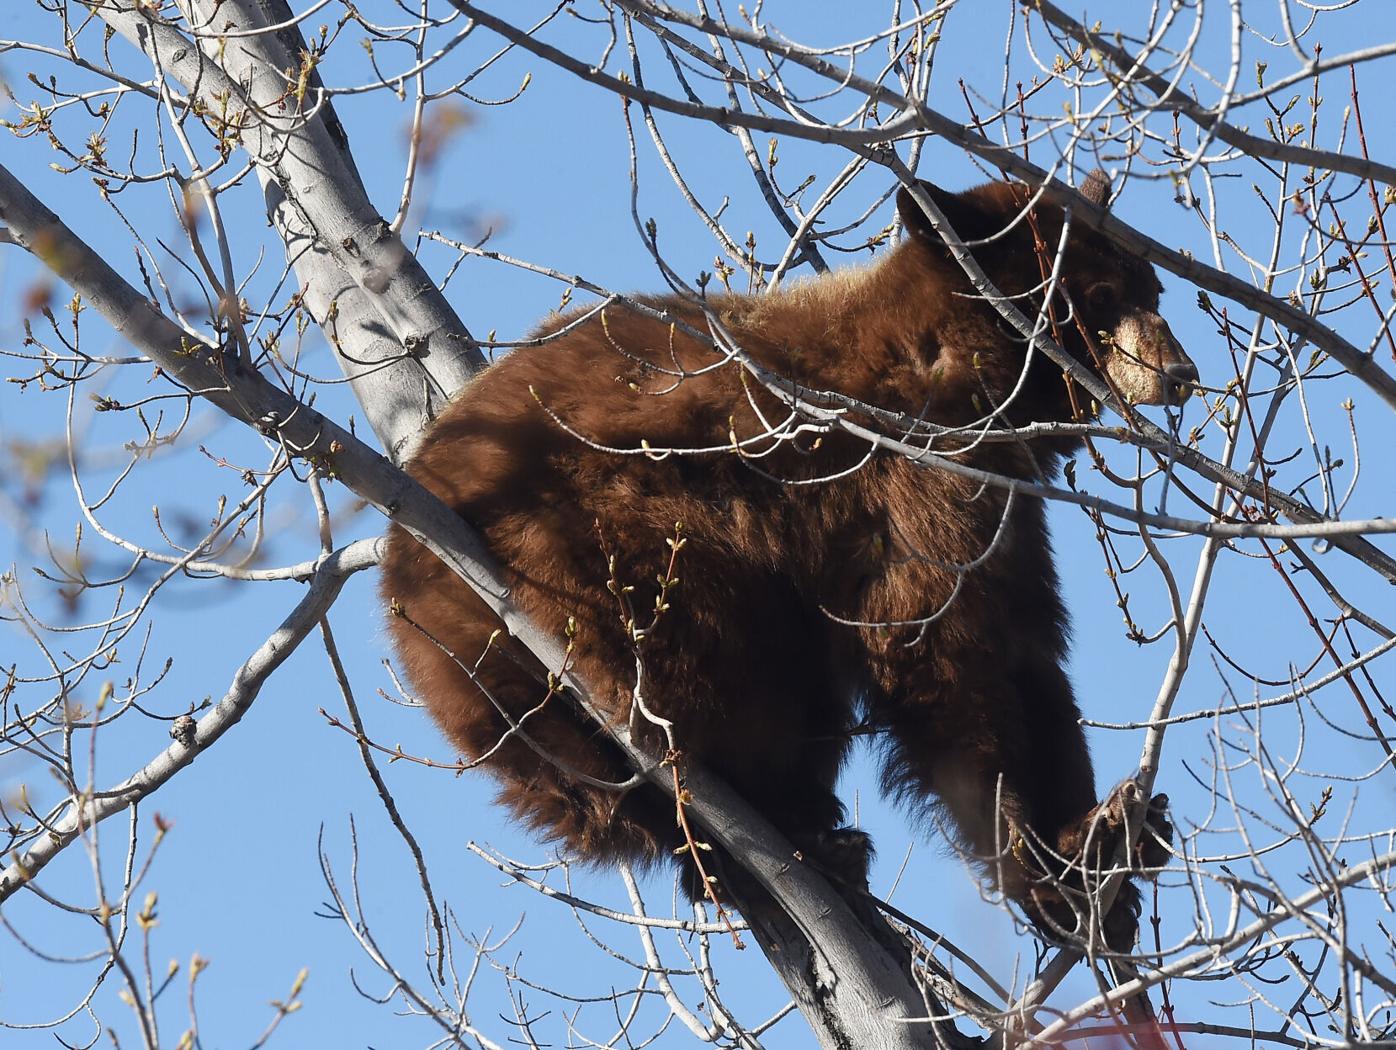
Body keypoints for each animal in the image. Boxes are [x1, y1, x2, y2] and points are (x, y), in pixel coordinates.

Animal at [380, 173, 1187, 949]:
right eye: (1101, 296)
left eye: (1151, 288)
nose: (1179, 371)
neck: (957, 364)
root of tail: (410, 590)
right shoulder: (913, 477)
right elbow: (939, 649)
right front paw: (1041, 869)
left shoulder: (1004, 503)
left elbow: (1027, 646)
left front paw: (1101, 842)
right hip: (606, 552)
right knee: (722, 667)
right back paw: (784, 826)